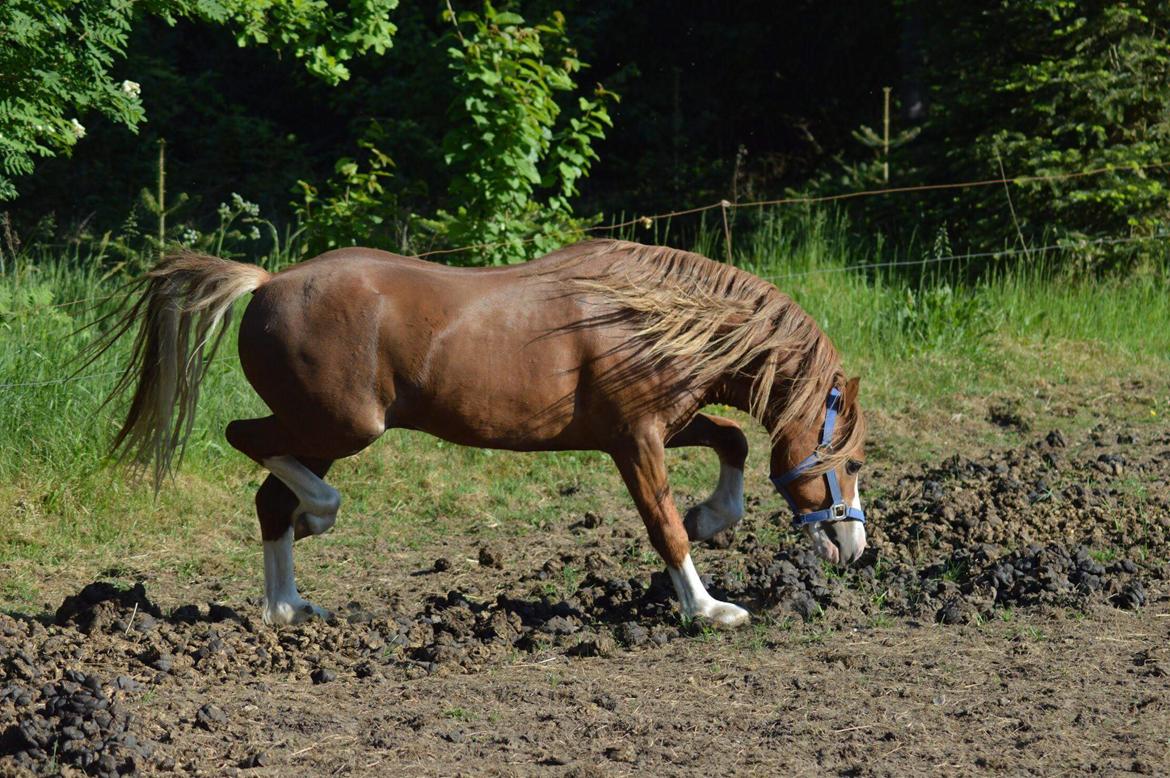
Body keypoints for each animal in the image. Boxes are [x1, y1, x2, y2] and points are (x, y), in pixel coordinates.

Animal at [102, 236, 870, 627]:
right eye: (856, 462)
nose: (854, 547)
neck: (646, 317)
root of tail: (266, 283)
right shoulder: (634, 439)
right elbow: (663, 526)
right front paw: (711, 609)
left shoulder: (661, 425)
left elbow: (732, 442)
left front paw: (713, 518)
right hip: (342, 425)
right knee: (248, 442)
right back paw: (318, 518)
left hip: (325, 433)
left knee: (268, 498)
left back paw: (290, 608)